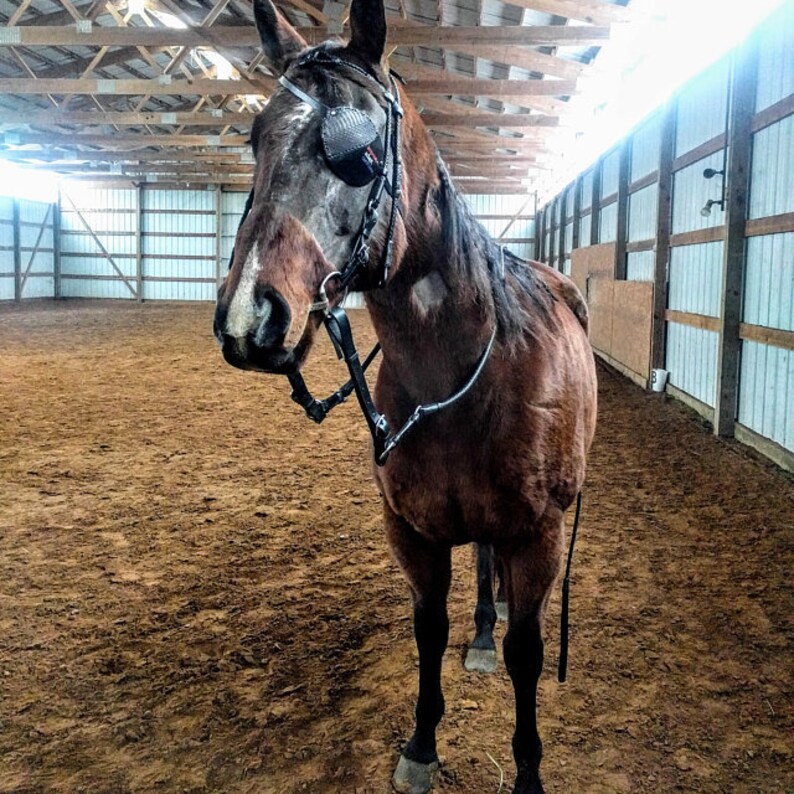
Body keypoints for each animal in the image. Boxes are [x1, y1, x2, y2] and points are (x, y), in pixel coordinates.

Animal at [213, 0, 598, 790]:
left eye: (359, 153)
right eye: (256, 139)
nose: (247, 318)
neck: (461, 382)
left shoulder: (539, 534)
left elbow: (528, 652)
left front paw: (528, 770)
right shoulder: (412, 532)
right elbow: (430, 629)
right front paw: (422, 744)